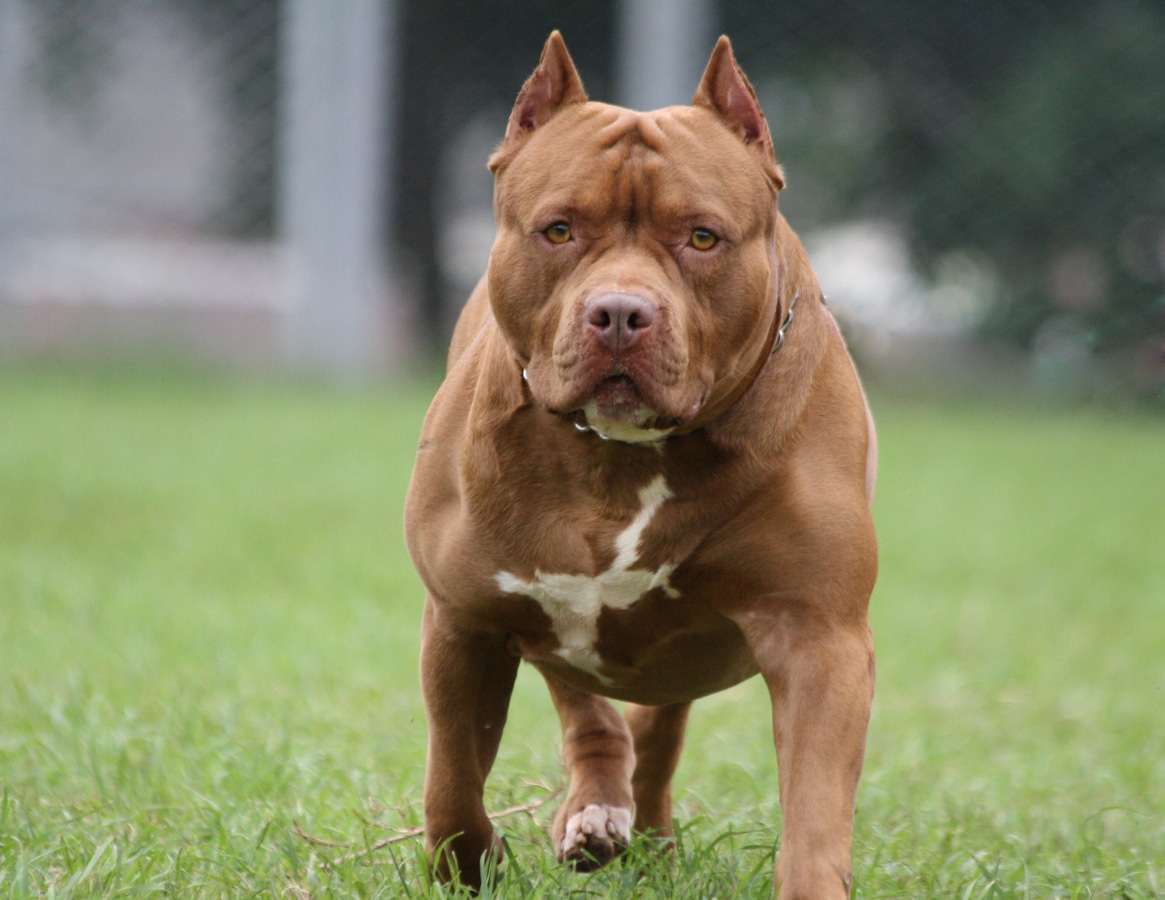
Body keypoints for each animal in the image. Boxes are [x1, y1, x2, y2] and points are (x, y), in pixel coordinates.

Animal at [405, 29, 876, 898]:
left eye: (702, 237)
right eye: (559, 231)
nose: (620, 313)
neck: (621, 458)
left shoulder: (818, 636)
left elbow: (815, 806)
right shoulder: (464, 620)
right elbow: (451, 777)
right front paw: (469, 864)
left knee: (654, 731)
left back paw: (642, 832)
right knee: (588, 714)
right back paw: (595, 816)